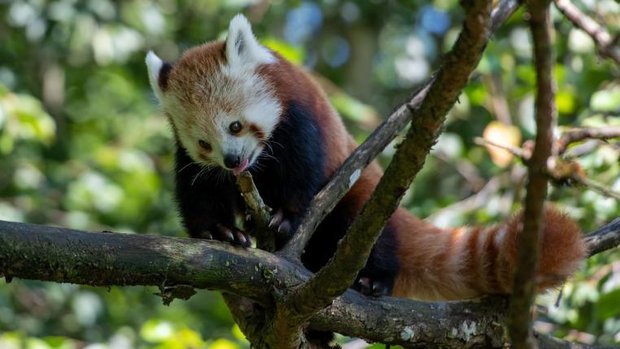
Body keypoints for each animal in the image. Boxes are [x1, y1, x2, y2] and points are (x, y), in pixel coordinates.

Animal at [145, 14, 588, 300]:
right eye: (204, 143)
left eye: (235, 126)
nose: (234, 162)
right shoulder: (195, 163)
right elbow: (199, 193)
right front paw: (221, 231)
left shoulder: (301, 119)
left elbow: (302, 176)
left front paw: (286, 216)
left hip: (363, 203)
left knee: (367, 231)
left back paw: (375, 278)